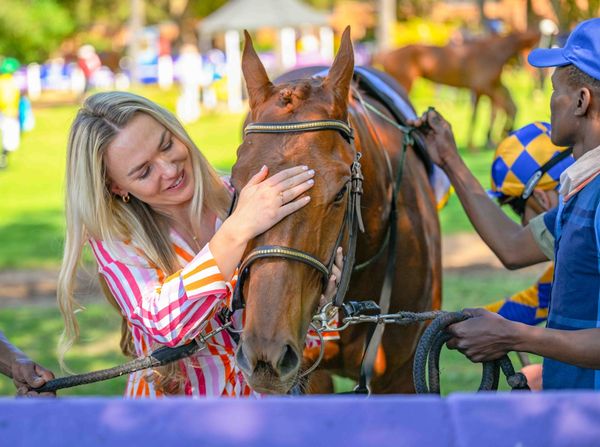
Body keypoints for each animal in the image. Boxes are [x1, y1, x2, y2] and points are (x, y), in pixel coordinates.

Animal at [378, 32, 540, 150]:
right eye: (533, 46)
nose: (532, 70)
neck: (493, 52)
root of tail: (386, 55)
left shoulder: (489, 86)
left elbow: (495, 110)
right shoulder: (484, 87)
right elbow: (485, 113)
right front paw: (482, 142)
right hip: (404, 82)